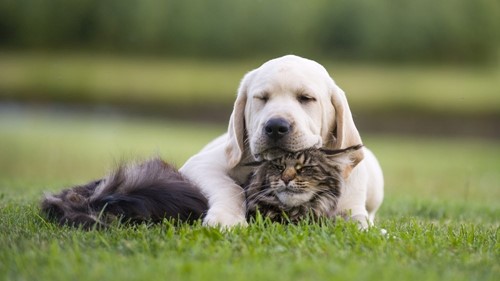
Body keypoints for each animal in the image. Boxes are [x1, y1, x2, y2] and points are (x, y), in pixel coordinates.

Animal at [180, 54, 382, 228]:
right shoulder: (201, 163)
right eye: (261, 98)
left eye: (306, 98)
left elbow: (357, 220)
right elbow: (230, 187)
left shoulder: (351, 205)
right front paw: (227, 219)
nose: (276, 126)